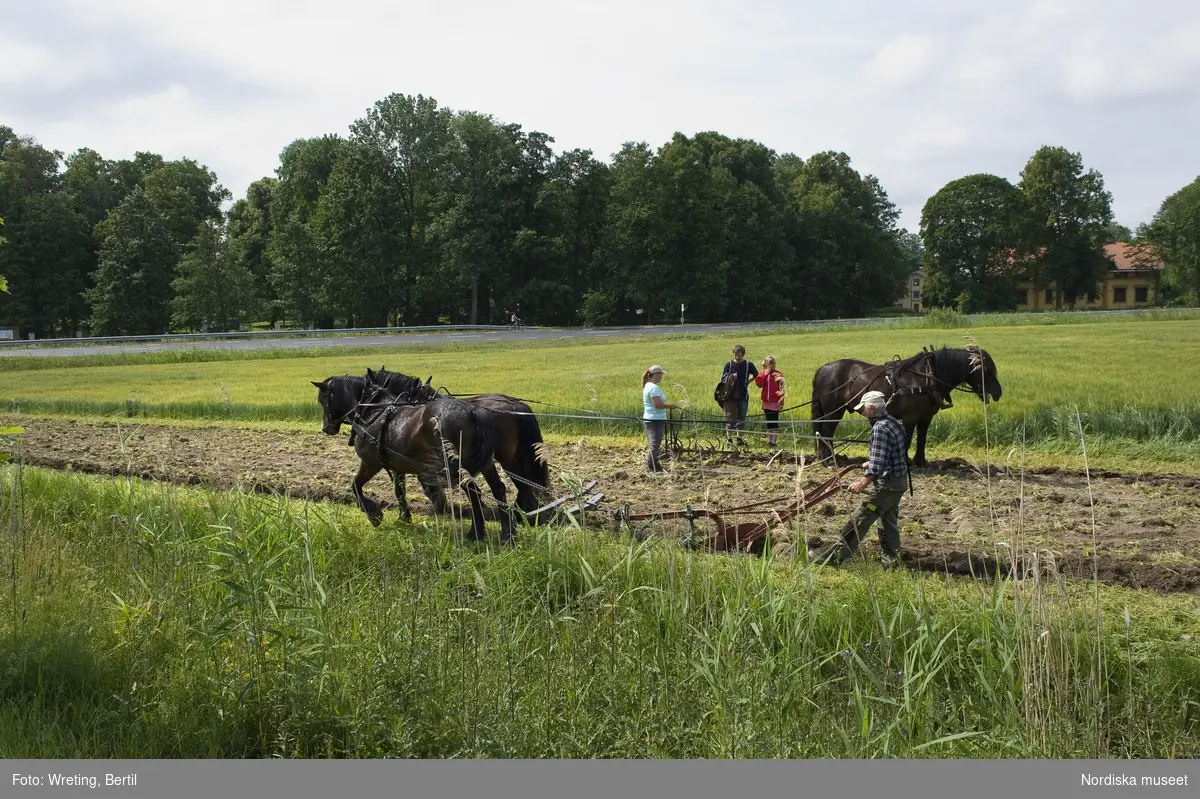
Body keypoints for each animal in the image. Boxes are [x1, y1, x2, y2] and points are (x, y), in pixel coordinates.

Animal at [312, 374, 513, 542]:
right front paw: (404, 518)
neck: (374, 412)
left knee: (473, 492)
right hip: (485, 463)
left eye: (323, 400)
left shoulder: (371, 463)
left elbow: (356, 484)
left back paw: (476, 533)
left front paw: (374, 514)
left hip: (456, 466)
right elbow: (399, 491)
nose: (326, 428)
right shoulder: (396, 465)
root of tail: (473, 412)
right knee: (498, 489)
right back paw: (507, 534)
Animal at [806, 343, 1003, 467]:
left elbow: (922, 439)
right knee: (826, 431)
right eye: (985, 369)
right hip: (833, 410)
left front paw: (921, 462)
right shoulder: (910, 418)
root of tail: (824, 368)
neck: (926, 377)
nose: (998, 393)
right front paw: (906, 462)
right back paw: (828, 461)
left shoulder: (926, 418)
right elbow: (907, 439)